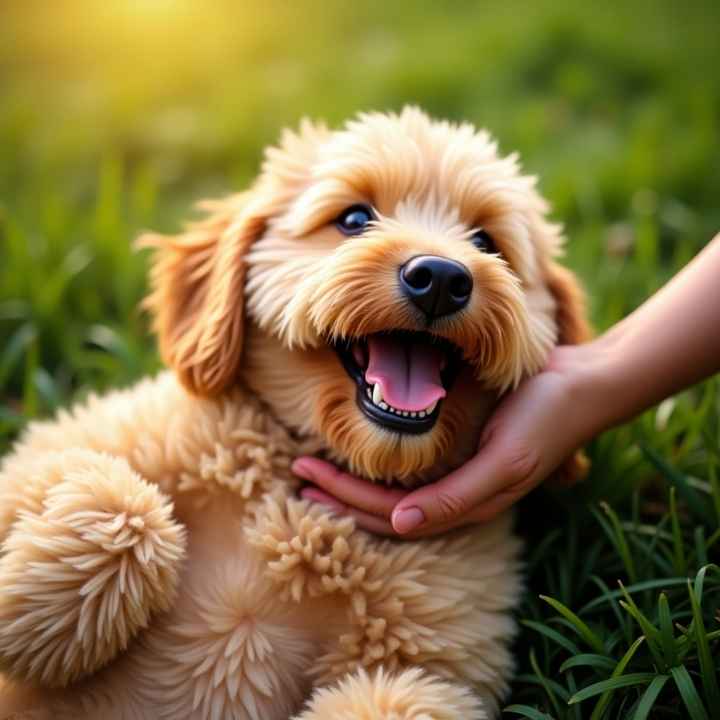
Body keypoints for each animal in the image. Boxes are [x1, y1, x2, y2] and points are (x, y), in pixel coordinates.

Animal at [0, 108, 588, 720]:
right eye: (353, 219)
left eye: (485, 241)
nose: (442, 278)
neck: (297, 494)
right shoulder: (61, 448)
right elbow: (120, 500)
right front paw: (30, 620)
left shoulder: (430, 668)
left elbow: (391, 697)